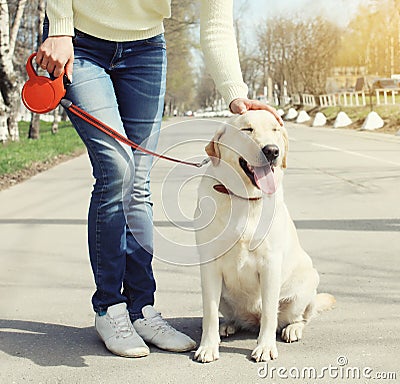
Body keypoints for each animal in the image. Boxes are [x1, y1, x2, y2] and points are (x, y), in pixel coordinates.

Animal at [194, 109, 334, 364]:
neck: (245, 198)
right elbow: (208, 312)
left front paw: (265, 347)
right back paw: (227, 326)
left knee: (297, 317)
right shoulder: (209, 266)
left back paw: (293, 329)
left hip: (307, 283)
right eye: (247, 129)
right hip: (226, 298)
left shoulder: (270, 265)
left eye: (275, 130)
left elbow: (270, 312)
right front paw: (208, 346)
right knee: (231, 316)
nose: (272, 151)